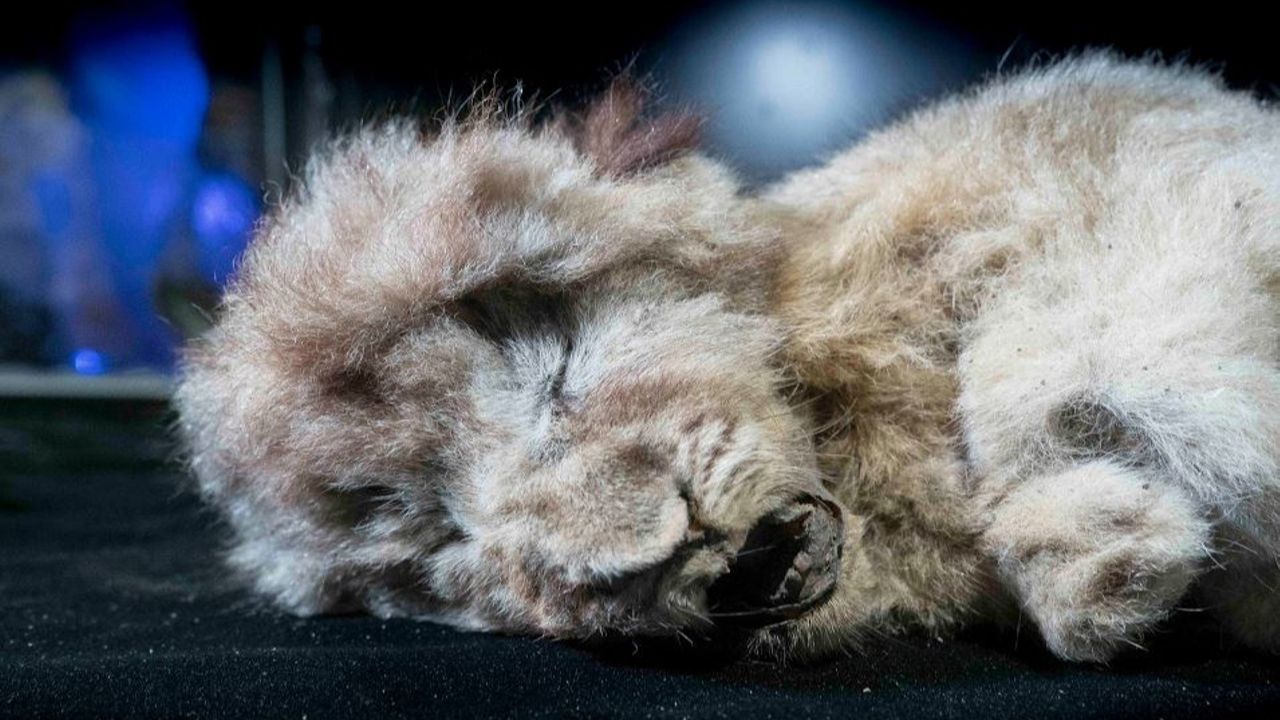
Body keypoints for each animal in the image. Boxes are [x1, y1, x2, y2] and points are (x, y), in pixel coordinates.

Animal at [175, 53, 1279, 663]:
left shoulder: (1124, 154)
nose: (661, 551)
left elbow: (1059, 348)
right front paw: (1110, 563)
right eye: (443, 547)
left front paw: (1109, 540)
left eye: (556, 369)